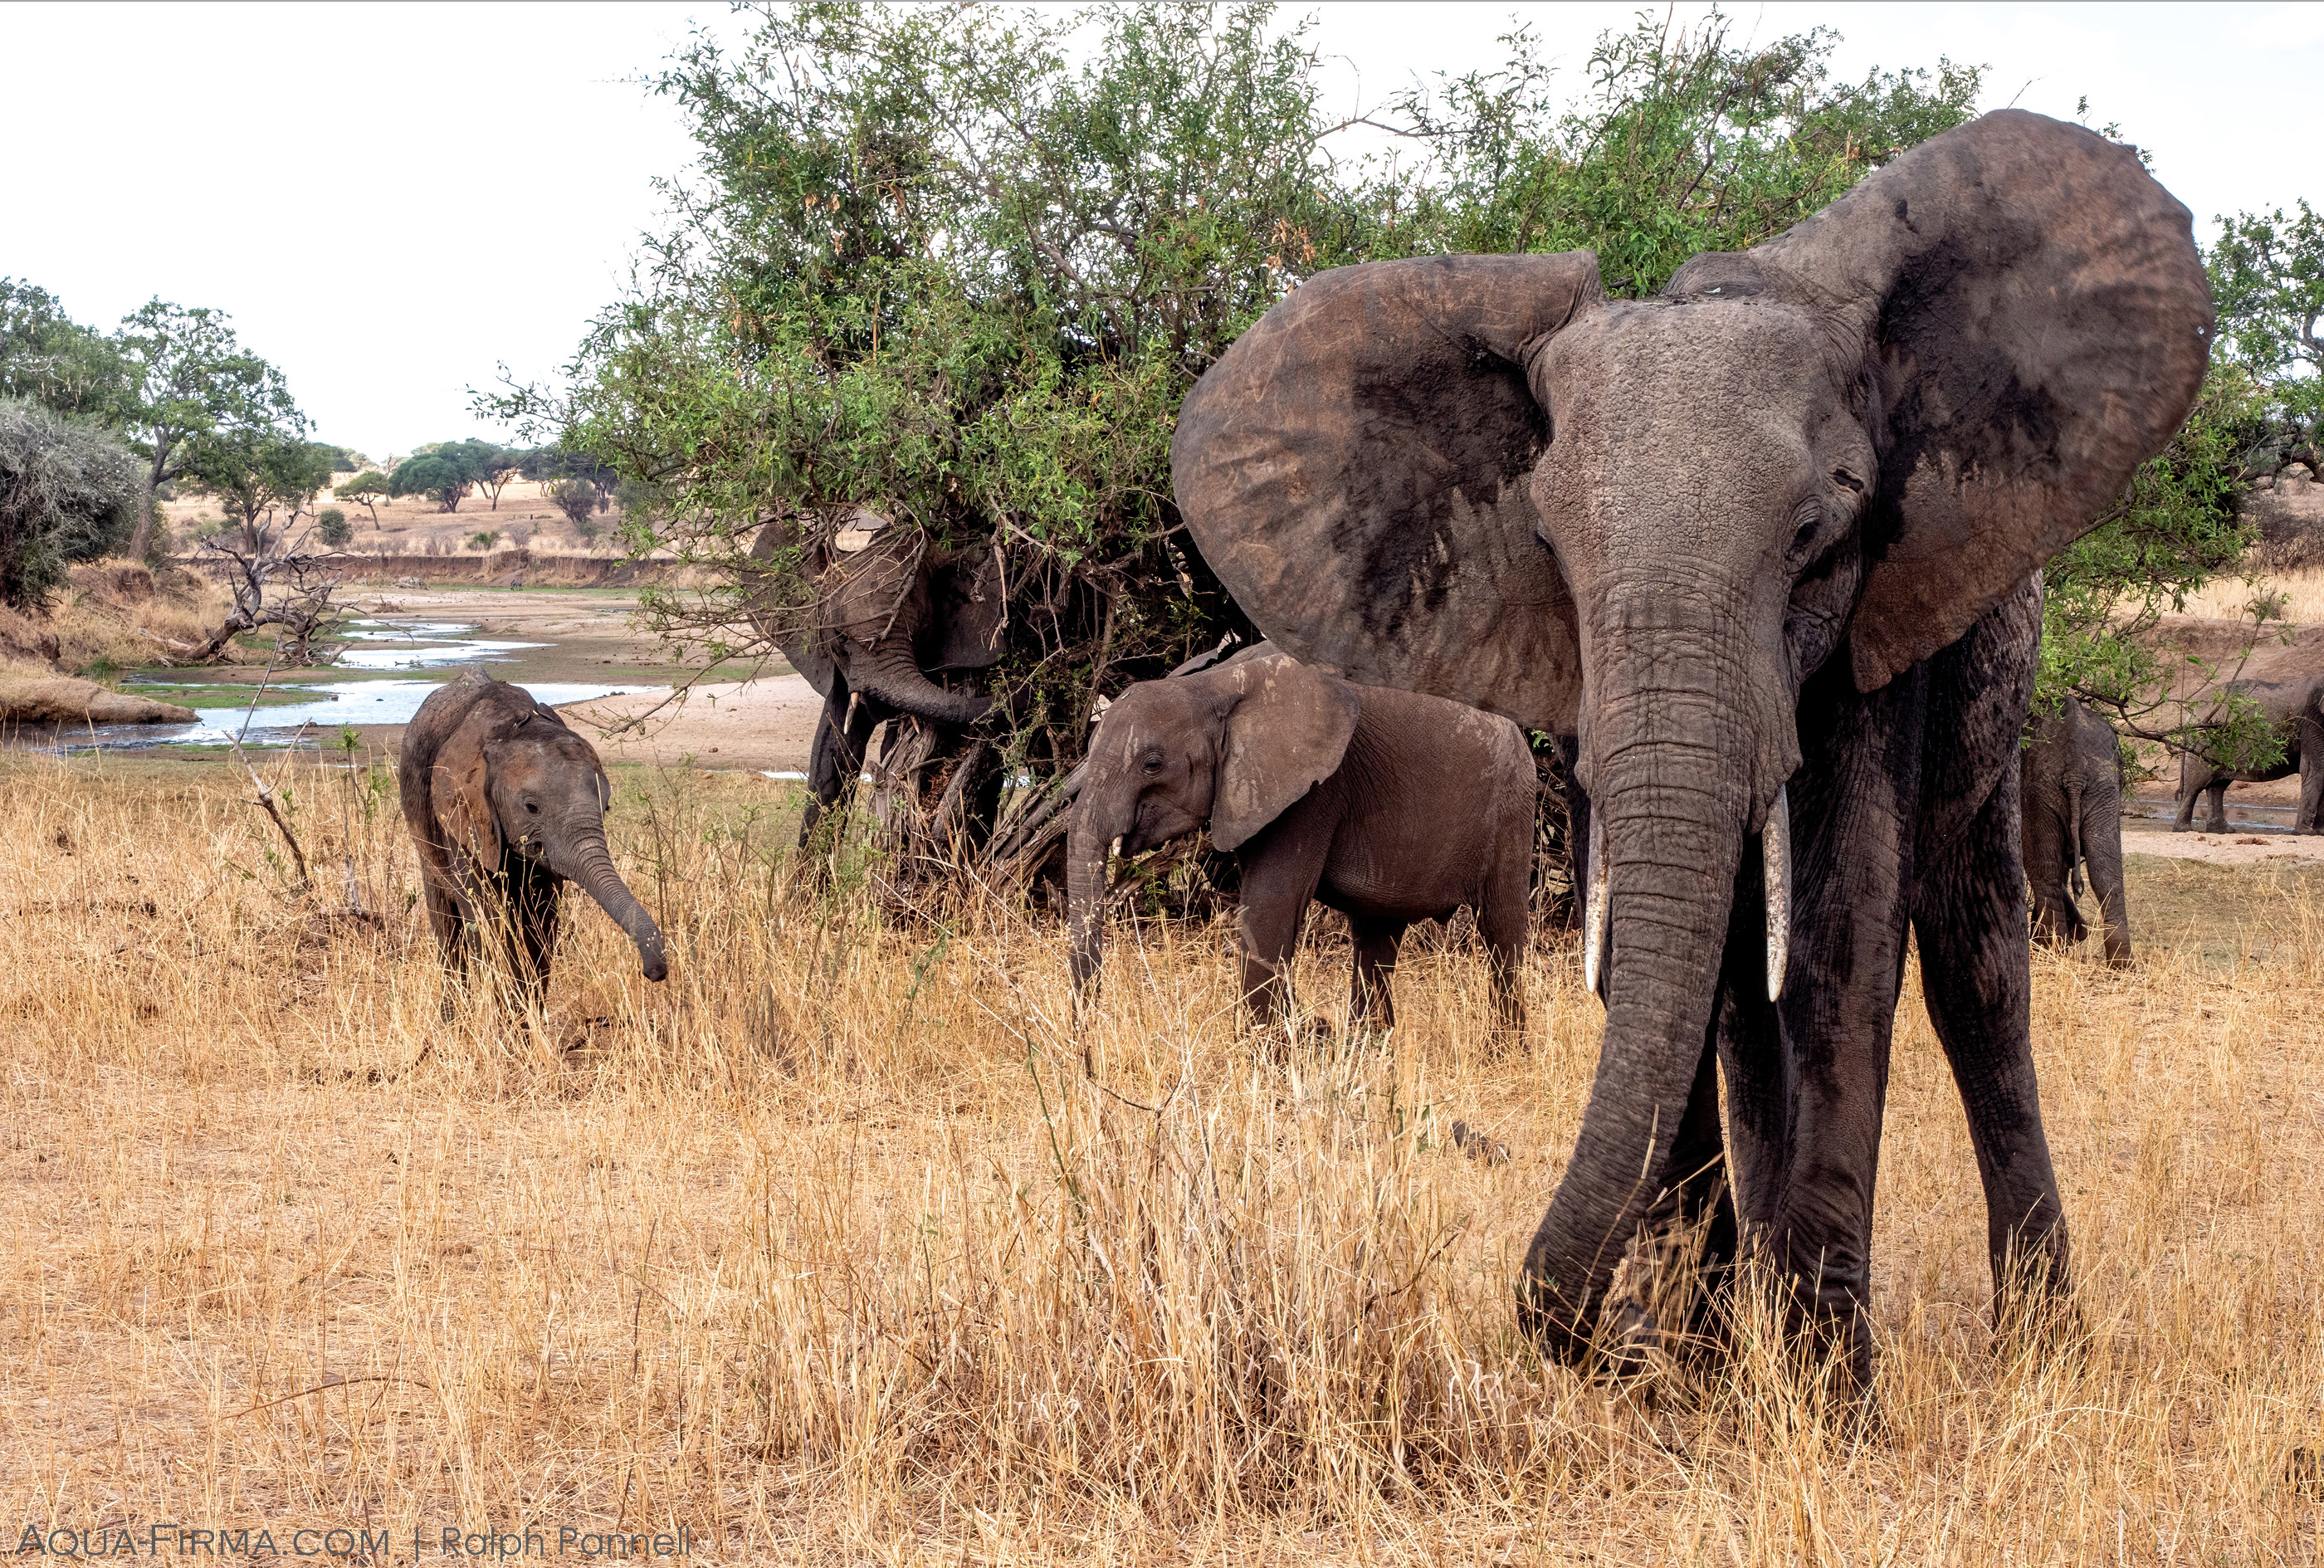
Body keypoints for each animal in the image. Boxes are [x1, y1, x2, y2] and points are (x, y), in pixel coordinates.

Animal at [400, 671, 669, 1008]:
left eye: (606, 807)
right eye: (531, 807)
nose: (655, 972)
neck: (507, 728)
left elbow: (541, 925)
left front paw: (526, 1014)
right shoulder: (461, 817)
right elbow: (488, 922)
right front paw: (506, 1017)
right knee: (446, 924)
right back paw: (455, 1015)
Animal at [1067, 644, 1537, 1036]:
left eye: (1152, 764)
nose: (1086, 1050)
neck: (1215, 686)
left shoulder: (1315, 793)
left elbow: (1269, 911)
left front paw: (1270, 1061)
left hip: (1512, 807)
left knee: (1501, 934)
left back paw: (1503, 1053)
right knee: (1377, 937)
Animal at [2021, 696, 2132, 967]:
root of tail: (2075, 769)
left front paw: (2075, 935)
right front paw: (2078, 934)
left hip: (2040, 791)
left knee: (2045, 872)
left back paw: (2052, 951)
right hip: (2103, 789)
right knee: (2107, 875)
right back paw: (2122, 965)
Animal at [2172, 669, 2324, 833]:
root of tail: (2189, 716)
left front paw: (2319, 833)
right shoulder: (2313, 722)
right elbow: (2315, 770)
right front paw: (2304, 833)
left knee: (2217, 786)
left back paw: (2222, 830)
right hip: (2203, 741)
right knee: (2195, 786)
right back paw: (2184, 830)